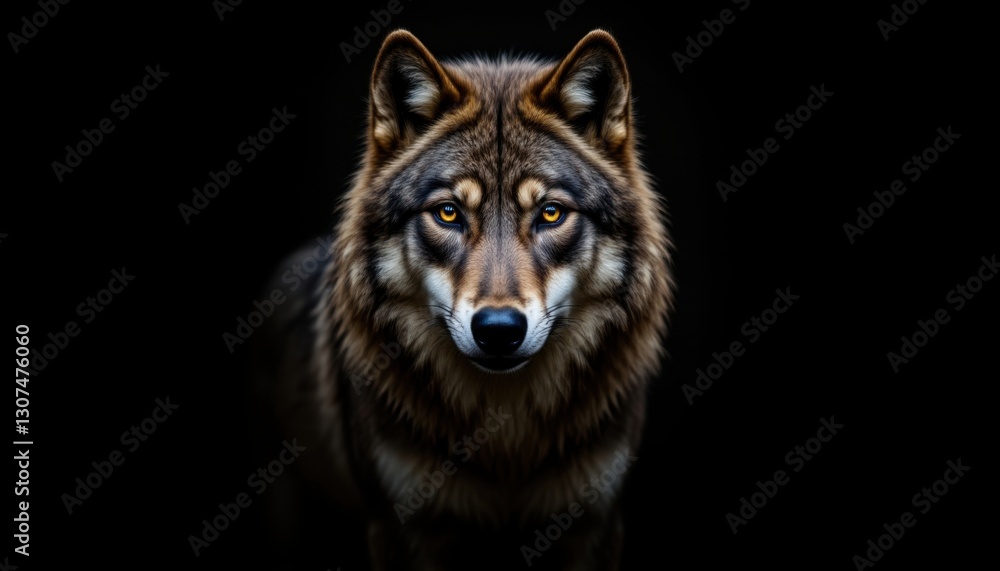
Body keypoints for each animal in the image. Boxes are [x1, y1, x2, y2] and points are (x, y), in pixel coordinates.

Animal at [252, 29, 674, 570]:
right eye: (449, 213)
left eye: (551, 213)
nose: (498, 329)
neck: (504, 439)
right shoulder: (402, 528)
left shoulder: (594, 525)